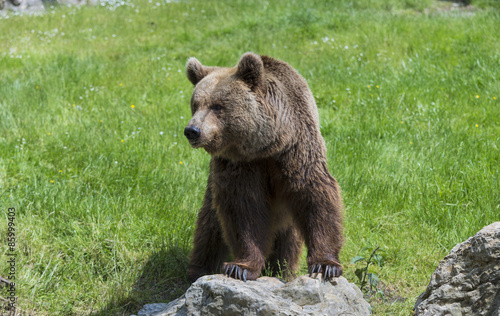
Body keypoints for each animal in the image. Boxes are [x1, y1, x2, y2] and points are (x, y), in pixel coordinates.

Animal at [184, 53, 344, 282]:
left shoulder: (295, 151)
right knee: (209, 225)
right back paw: (199, 269)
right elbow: (242, 211)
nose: (192, 130)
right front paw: (240, 267)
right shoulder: (240, 165)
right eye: (195, 105)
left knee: (288, 239)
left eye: (217, 106)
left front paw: (326, 265)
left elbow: (314, 195)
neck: (264, 147)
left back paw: (281, 269)